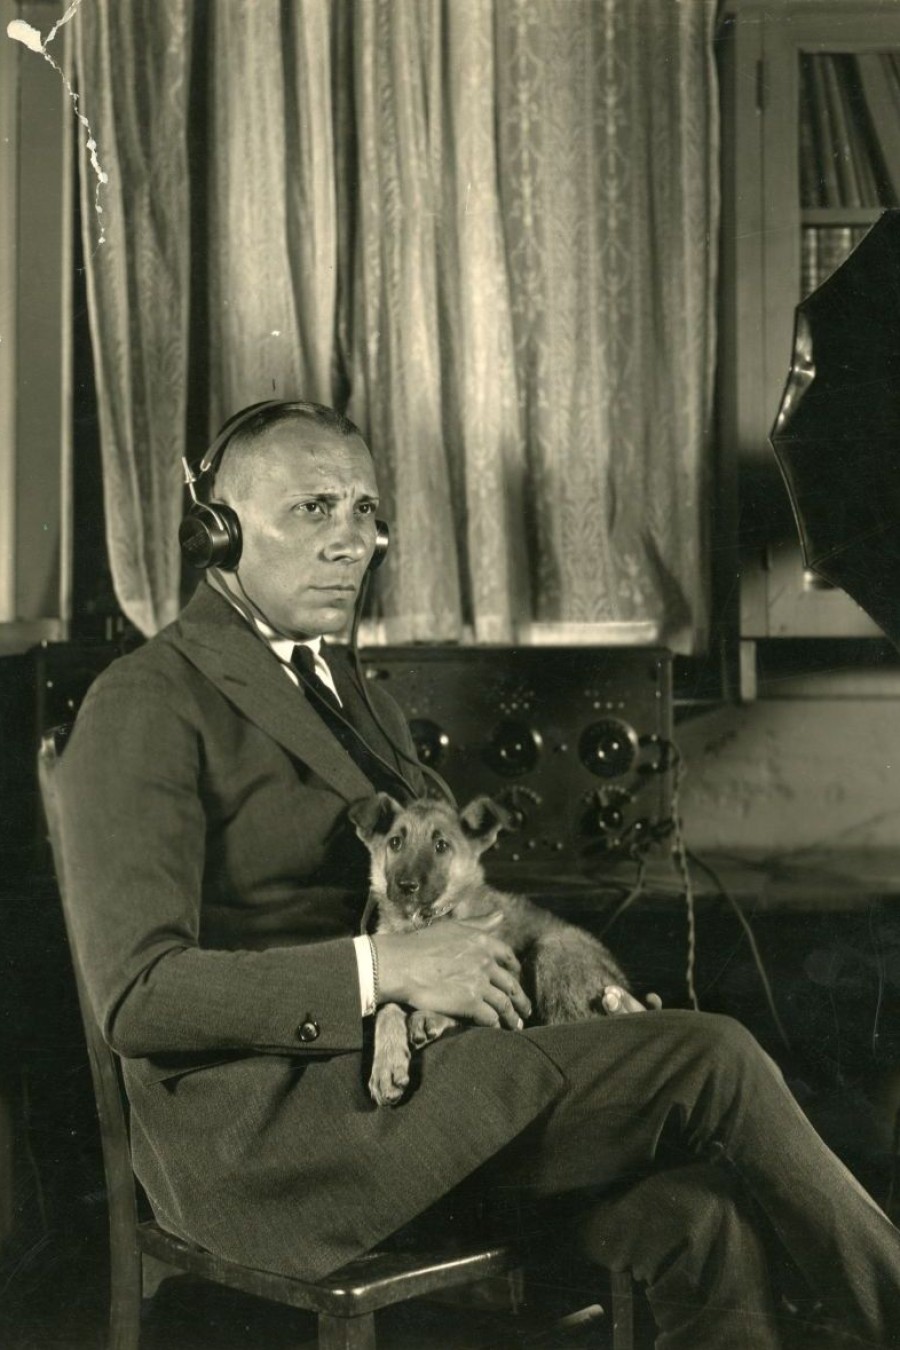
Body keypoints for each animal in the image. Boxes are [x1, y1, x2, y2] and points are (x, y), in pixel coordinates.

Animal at [350, 793, 639, 1101]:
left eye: (441, 845)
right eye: (395, 842)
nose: (406, 885)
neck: (423, 923)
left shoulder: (507, 984)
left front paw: (430, 1017)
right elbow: (387, 1007)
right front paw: (387, 1064)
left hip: (554, 948)